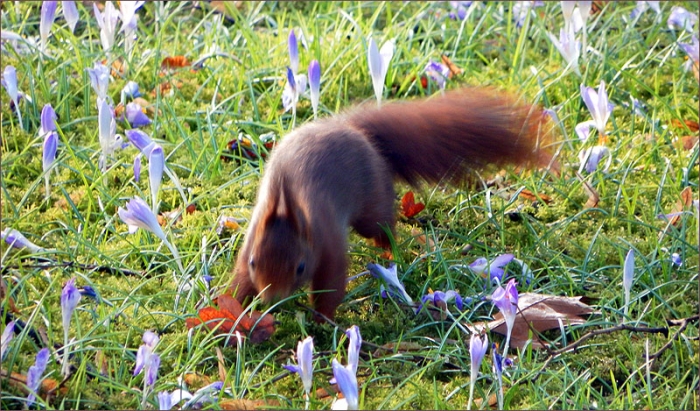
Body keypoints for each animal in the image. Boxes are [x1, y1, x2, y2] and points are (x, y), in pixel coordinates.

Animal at [227, 87, 555, 320]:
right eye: (255, 262)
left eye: (300, 267)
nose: (272, 300)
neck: (287, 202)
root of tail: (352, 128)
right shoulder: (251, 242)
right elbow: (240, 280)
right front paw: (233, 309)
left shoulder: (329, 241)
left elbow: (331, 283)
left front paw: (322, 321)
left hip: (371, 204)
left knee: (384, 223)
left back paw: (389, 251)